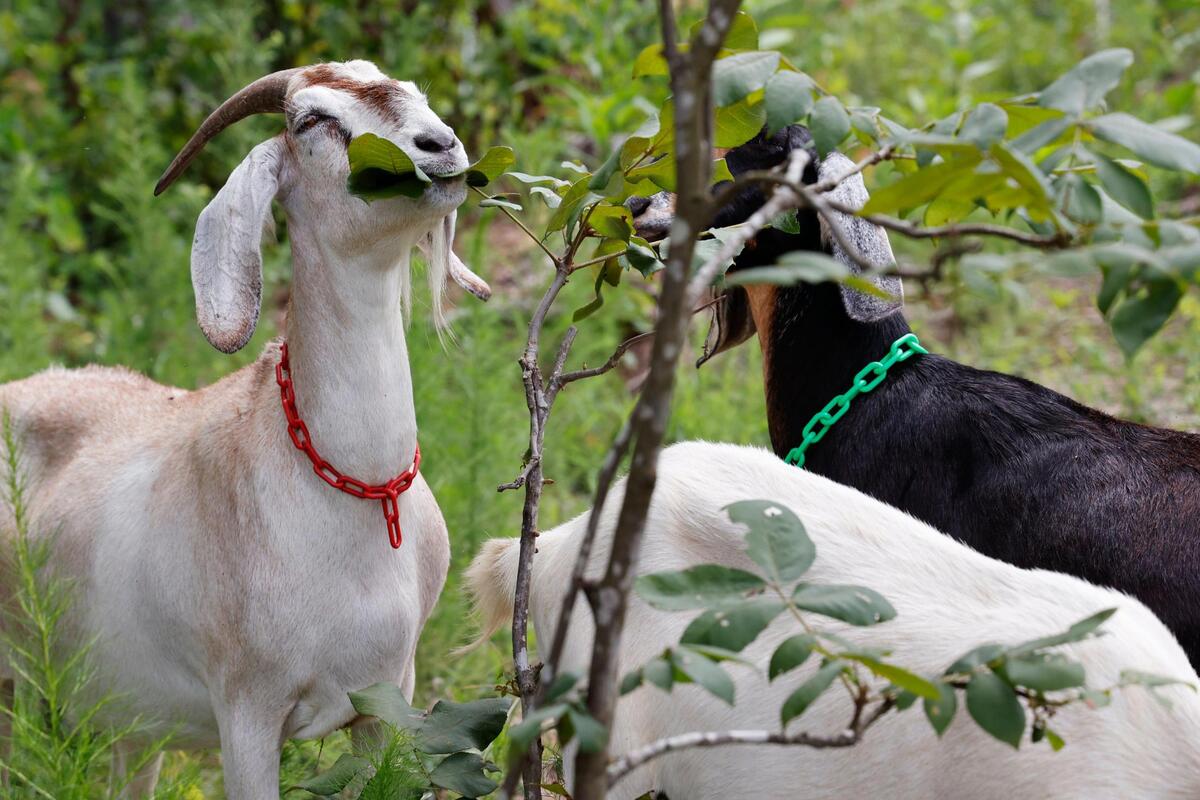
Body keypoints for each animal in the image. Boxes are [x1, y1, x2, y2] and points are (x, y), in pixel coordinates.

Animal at [0, 60, 490, 798]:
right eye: (311, 120)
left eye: (414, 94)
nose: (440, 147)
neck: (350, 493)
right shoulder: (248, 711)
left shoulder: (386, 699)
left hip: (130, 725)